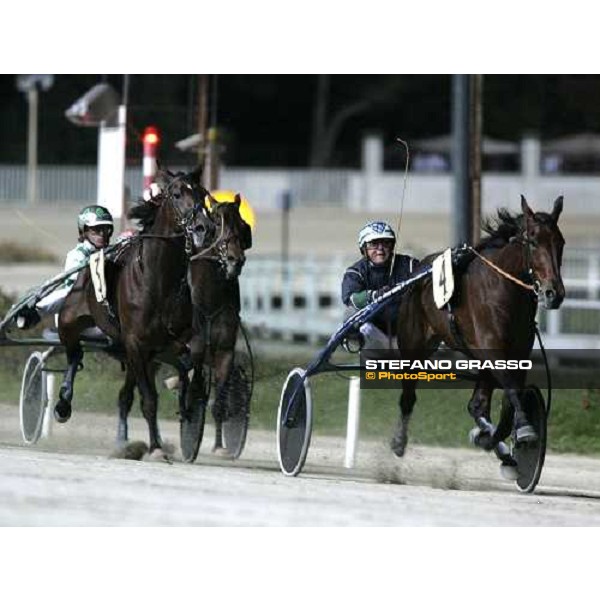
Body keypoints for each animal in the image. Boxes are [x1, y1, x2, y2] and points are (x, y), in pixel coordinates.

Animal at [392, 195, 564, 472]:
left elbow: (509, 400)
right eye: (534, 241)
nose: (554, 293)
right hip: (413, 343)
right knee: (408, 396)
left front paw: (492, 437)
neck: (504, 288)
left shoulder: (518, 351)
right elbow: (511, 392)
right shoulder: (492, 347)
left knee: (477, 404)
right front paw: (523, 430)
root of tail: (418, 271)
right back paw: (398, 442)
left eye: (560, 242)